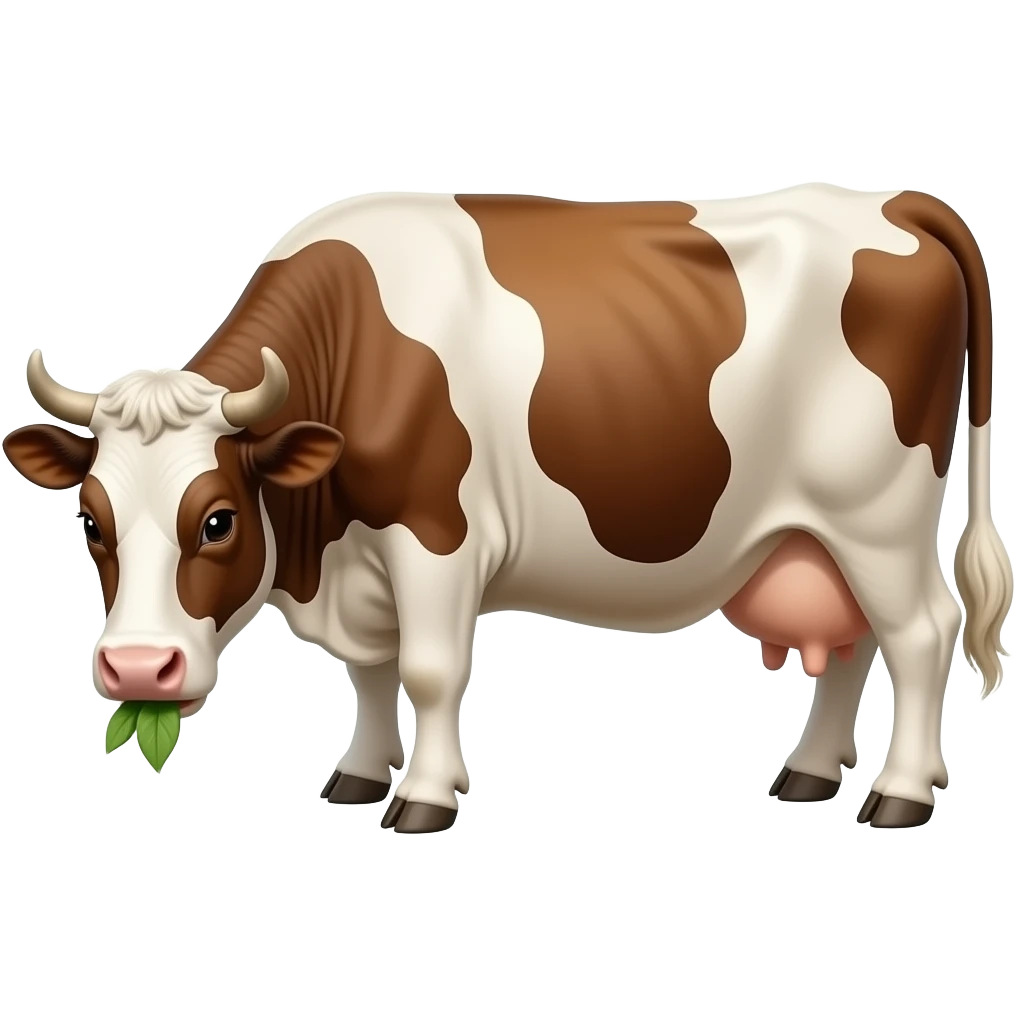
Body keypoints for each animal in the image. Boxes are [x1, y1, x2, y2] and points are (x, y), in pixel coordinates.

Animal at [3, 185, 1010, 833]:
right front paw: (358, 773)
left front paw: (422, 797)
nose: (138, 669)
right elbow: (369, 671)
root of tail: (894, 200)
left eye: (216, 519)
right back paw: (806, 773)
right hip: (820, 531)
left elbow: (429, 669)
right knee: (854, 639)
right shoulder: (361, 562)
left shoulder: (436, 537)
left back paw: (900, 793)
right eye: (89, 521)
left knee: (920, 632)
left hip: (875, 511)